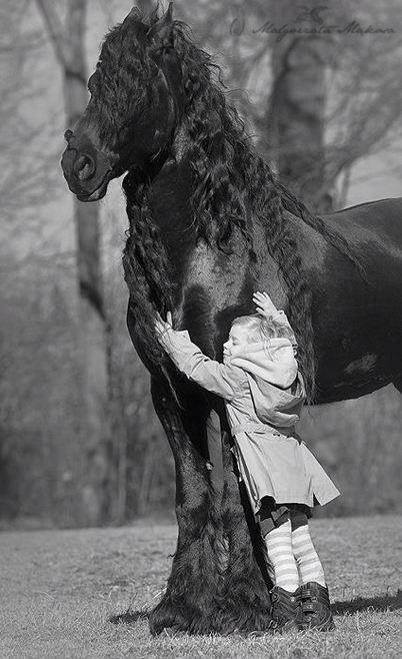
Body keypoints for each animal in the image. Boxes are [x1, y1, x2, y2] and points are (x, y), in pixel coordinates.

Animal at [60, 3, 402, 636]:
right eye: (95, 81)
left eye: (139, 83)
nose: (79, 164)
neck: (209, 248)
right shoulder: (171, 393)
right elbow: (195, 496)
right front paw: (180, 609)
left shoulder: (230, 390)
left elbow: (240, 498)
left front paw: (248, 606)